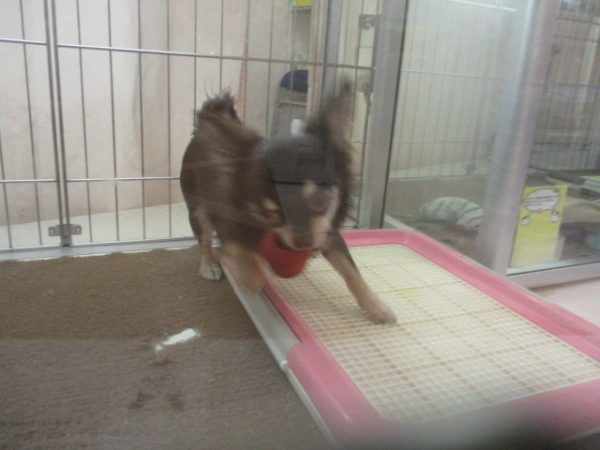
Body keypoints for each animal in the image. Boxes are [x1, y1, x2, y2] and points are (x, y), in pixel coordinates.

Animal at [180, 83, 396, 324]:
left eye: (320, 200)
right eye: (271, 214)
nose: (304, 242)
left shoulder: (329, 233)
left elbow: (352, 272)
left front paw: (375, 306)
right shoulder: (229, 227)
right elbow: (240, 257)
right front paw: (251, 275)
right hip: (197, 210)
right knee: (205, 240)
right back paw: (209, 265)